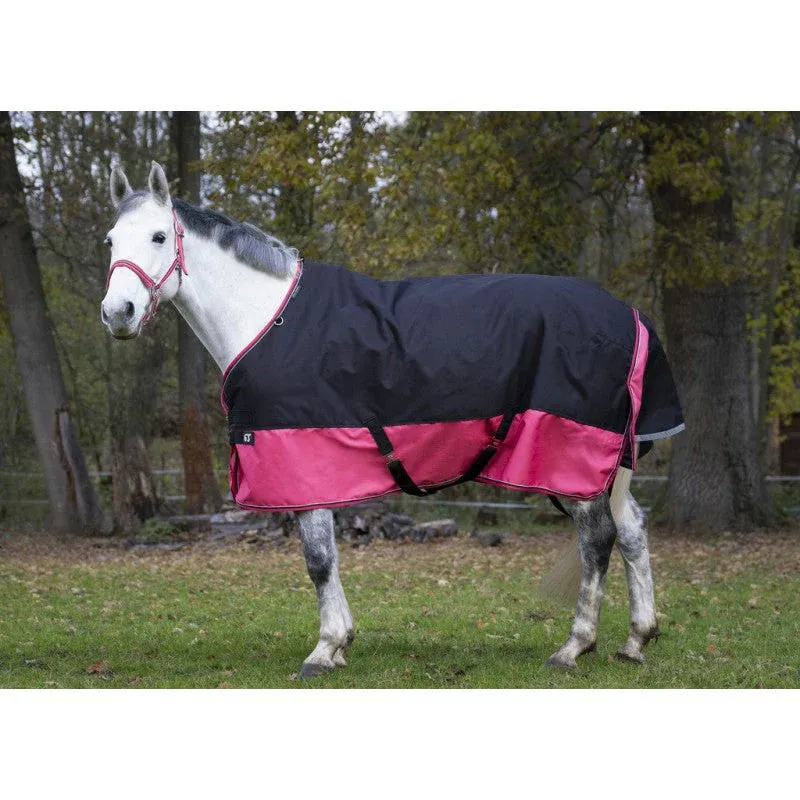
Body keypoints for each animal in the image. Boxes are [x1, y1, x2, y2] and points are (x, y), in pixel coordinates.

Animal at [101, 161, 684, 677]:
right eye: (110, 241)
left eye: (158, 236)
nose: (117, 313)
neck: (269, 318)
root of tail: (630, 315)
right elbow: (329, 559)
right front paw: (340, 644)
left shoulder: (303, 463)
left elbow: (318, 560)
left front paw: (324, 650)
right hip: (607, 464)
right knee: (632, 530)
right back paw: (635, 640)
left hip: (572, 458)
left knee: (599, 539)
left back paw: (573, 647)